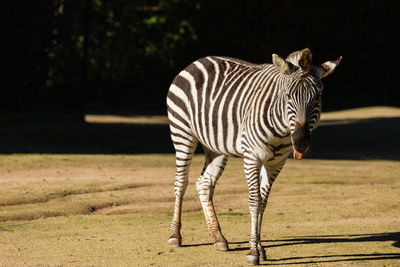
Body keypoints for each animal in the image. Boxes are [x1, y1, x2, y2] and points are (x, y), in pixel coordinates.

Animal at [166, 48, 340, 266]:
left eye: (318, 96)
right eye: (288, 96)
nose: (300, 143)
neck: (282, 130)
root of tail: (198, 61)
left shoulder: (276, 163)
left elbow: (263, 204)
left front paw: (260, 248)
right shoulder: (252, 158)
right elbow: (254, 202)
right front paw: (253, 252)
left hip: (216, 146)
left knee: (204, 183)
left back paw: (218, 237)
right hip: (182, 132)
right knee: (180, 183)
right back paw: (175, 236)